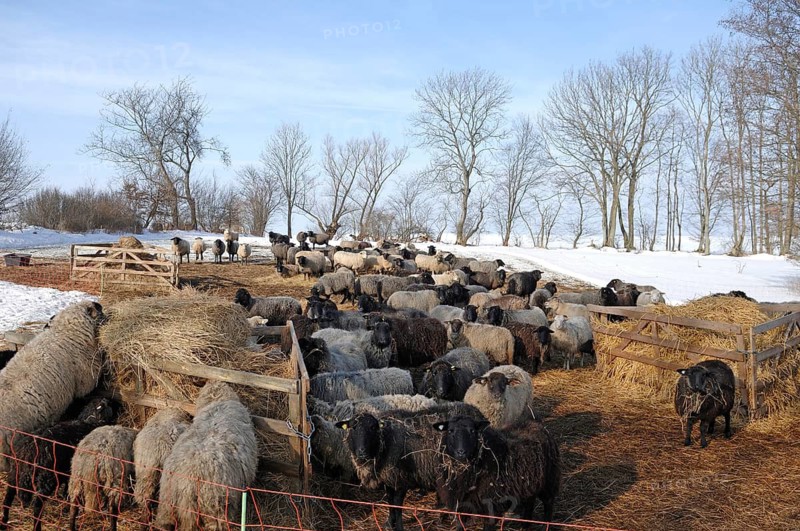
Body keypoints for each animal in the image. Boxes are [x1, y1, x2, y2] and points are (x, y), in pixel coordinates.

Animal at [1, 397, 117, 531]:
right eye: (108, 404)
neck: (90, 421)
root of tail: (28, 451)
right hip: (45, 479)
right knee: (37, 507)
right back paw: (36, 526)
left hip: (14, 473)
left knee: (7, 498)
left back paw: (4, 522)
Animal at [433, 415, 561, 528]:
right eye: (450, 431)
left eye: (472, 431)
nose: (461, 452)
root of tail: (536, 424)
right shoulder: (460, 505)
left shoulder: (492, 506)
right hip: (530, 483)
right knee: (530, 502)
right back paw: (525, 525)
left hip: (549, 480)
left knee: (548, 504)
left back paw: (545, 525)